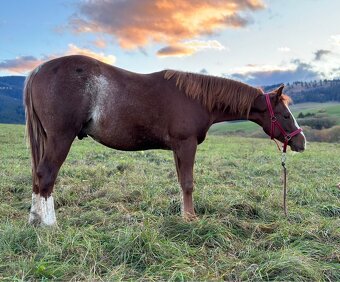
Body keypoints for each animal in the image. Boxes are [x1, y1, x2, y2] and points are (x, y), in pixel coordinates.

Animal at [23, 55, 306, 227]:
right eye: (284, 114)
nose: (301, 142)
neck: (196, 98)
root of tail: (39, 69)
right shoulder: (186, 144)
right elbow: (189, 183)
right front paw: (191, 218)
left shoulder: (177, 148)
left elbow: (182, 183)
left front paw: (184, 215)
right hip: (61, 137)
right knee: (46, 175)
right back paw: (49, 224)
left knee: (38, 176)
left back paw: (35, 219)